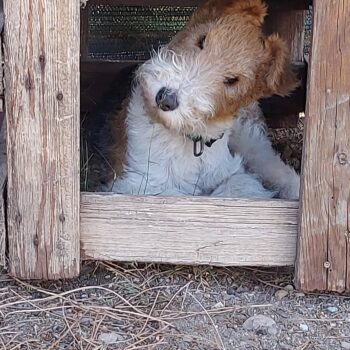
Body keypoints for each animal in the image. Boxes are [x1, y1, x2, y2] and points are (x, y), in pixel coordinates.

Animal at [99, 0, 300, 198]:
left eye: (233, 80)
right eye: (202, 40)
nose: (166, 98)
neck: (190, 140)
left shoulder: (228, 172)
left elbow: (237, 185)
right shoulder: (138, 184)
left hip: (247, 135)